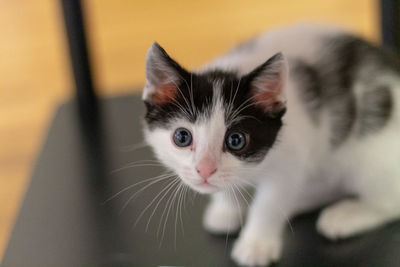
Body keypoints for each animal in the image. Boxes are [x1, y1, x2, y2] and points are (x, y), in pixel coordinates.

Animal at [141, 24, 400, 266]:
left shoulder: (292, 158)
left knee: (389, 202)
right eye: (182, 137)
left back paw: (348, 214)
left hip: (373, 157)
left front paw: (256, 245)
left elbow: (269, 204)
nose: (205, 169)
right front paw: (226, 209)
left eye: (236, 140)